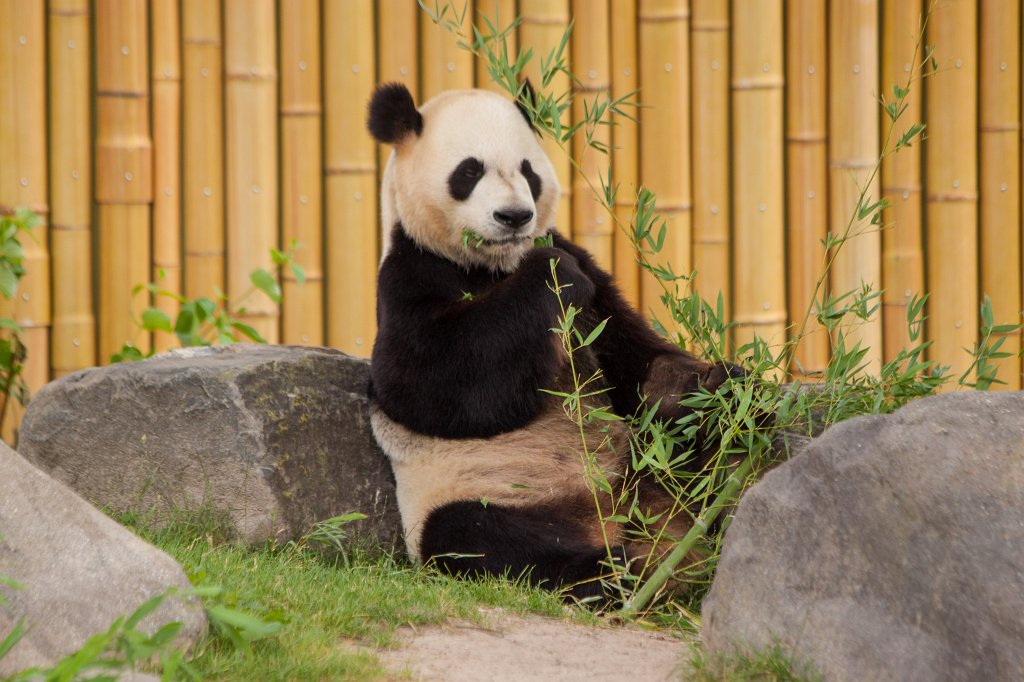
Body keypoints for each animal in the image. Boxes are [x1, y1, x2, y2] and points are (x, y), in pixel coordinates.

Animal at [366, 82, 739, 599]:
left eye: (528, 171)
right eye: (469, 171)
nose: (514, 216)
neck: (496, 265)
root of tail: (607, 517)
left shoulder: (592, 280)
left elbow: (635, 361)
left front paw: (720, 387)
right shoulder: (411, 273)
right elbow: (426, 380)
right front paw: (552, 275)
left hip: (643, 466)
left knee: (690, 461)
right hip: (482, 489)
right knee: (481, 538)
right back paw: (613, 572)